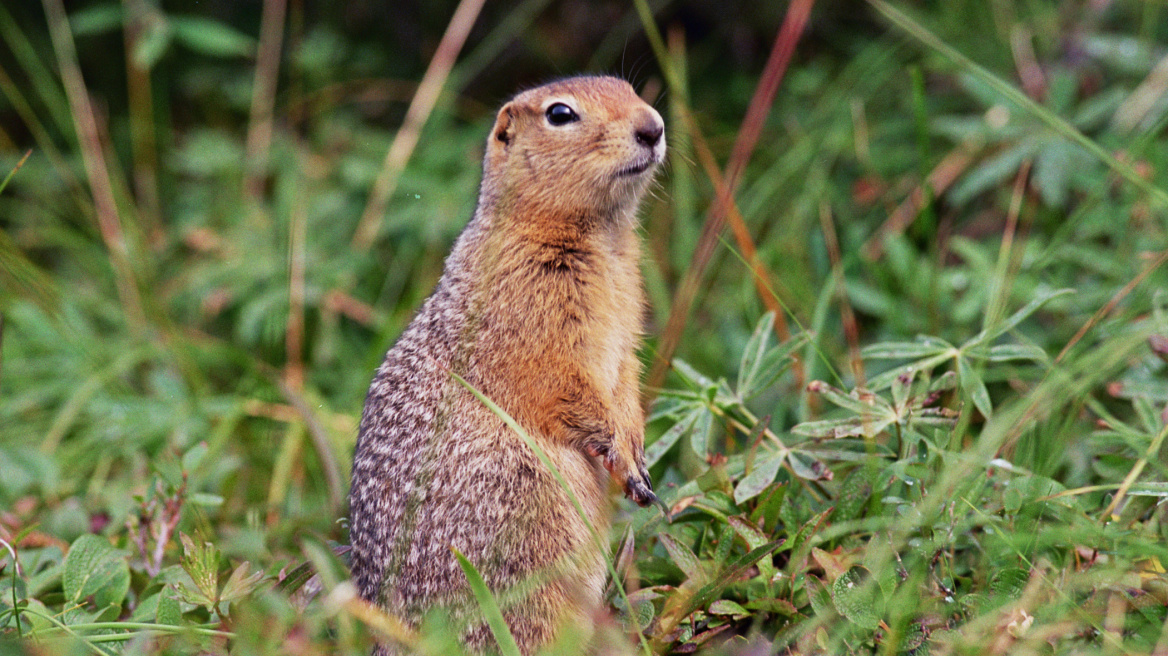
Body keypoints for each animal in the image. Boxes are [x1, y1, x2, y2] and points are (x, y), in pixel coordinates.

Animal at [348, 77, 668, 653]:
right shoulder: (532, 319)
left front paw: (636, 452)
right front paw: (621, 455)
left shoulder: (627, 322)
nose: (652, 127)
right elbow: (563, 383)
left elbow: (626, 378)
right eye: (560, 114)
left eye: (630, 87)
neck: (600, 237)